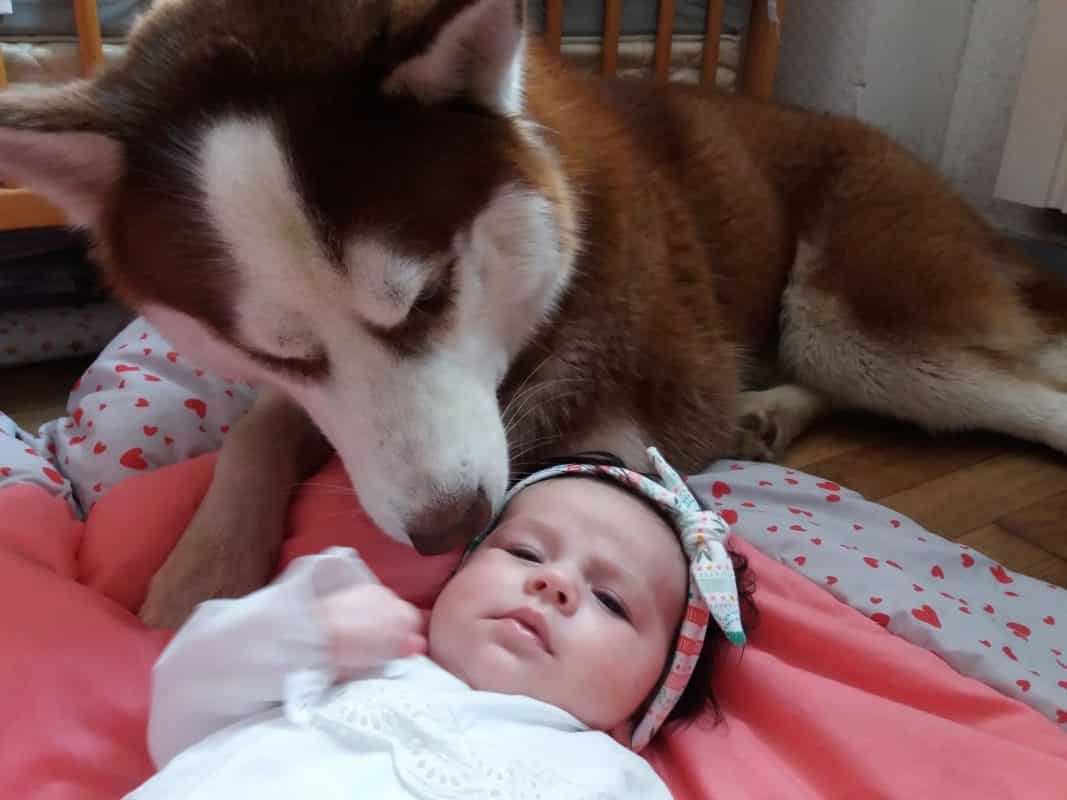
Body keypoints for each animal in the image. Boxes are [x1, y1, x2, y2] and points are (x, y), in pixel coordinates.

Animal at [2, 0, 1067, 627]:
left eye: (432, 293)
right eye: (281, 353)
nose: (444, 529)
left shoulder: (622, 396)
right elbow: (263, 428)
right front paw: (207, 563)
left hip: (860, 324)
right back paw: (764, 413)